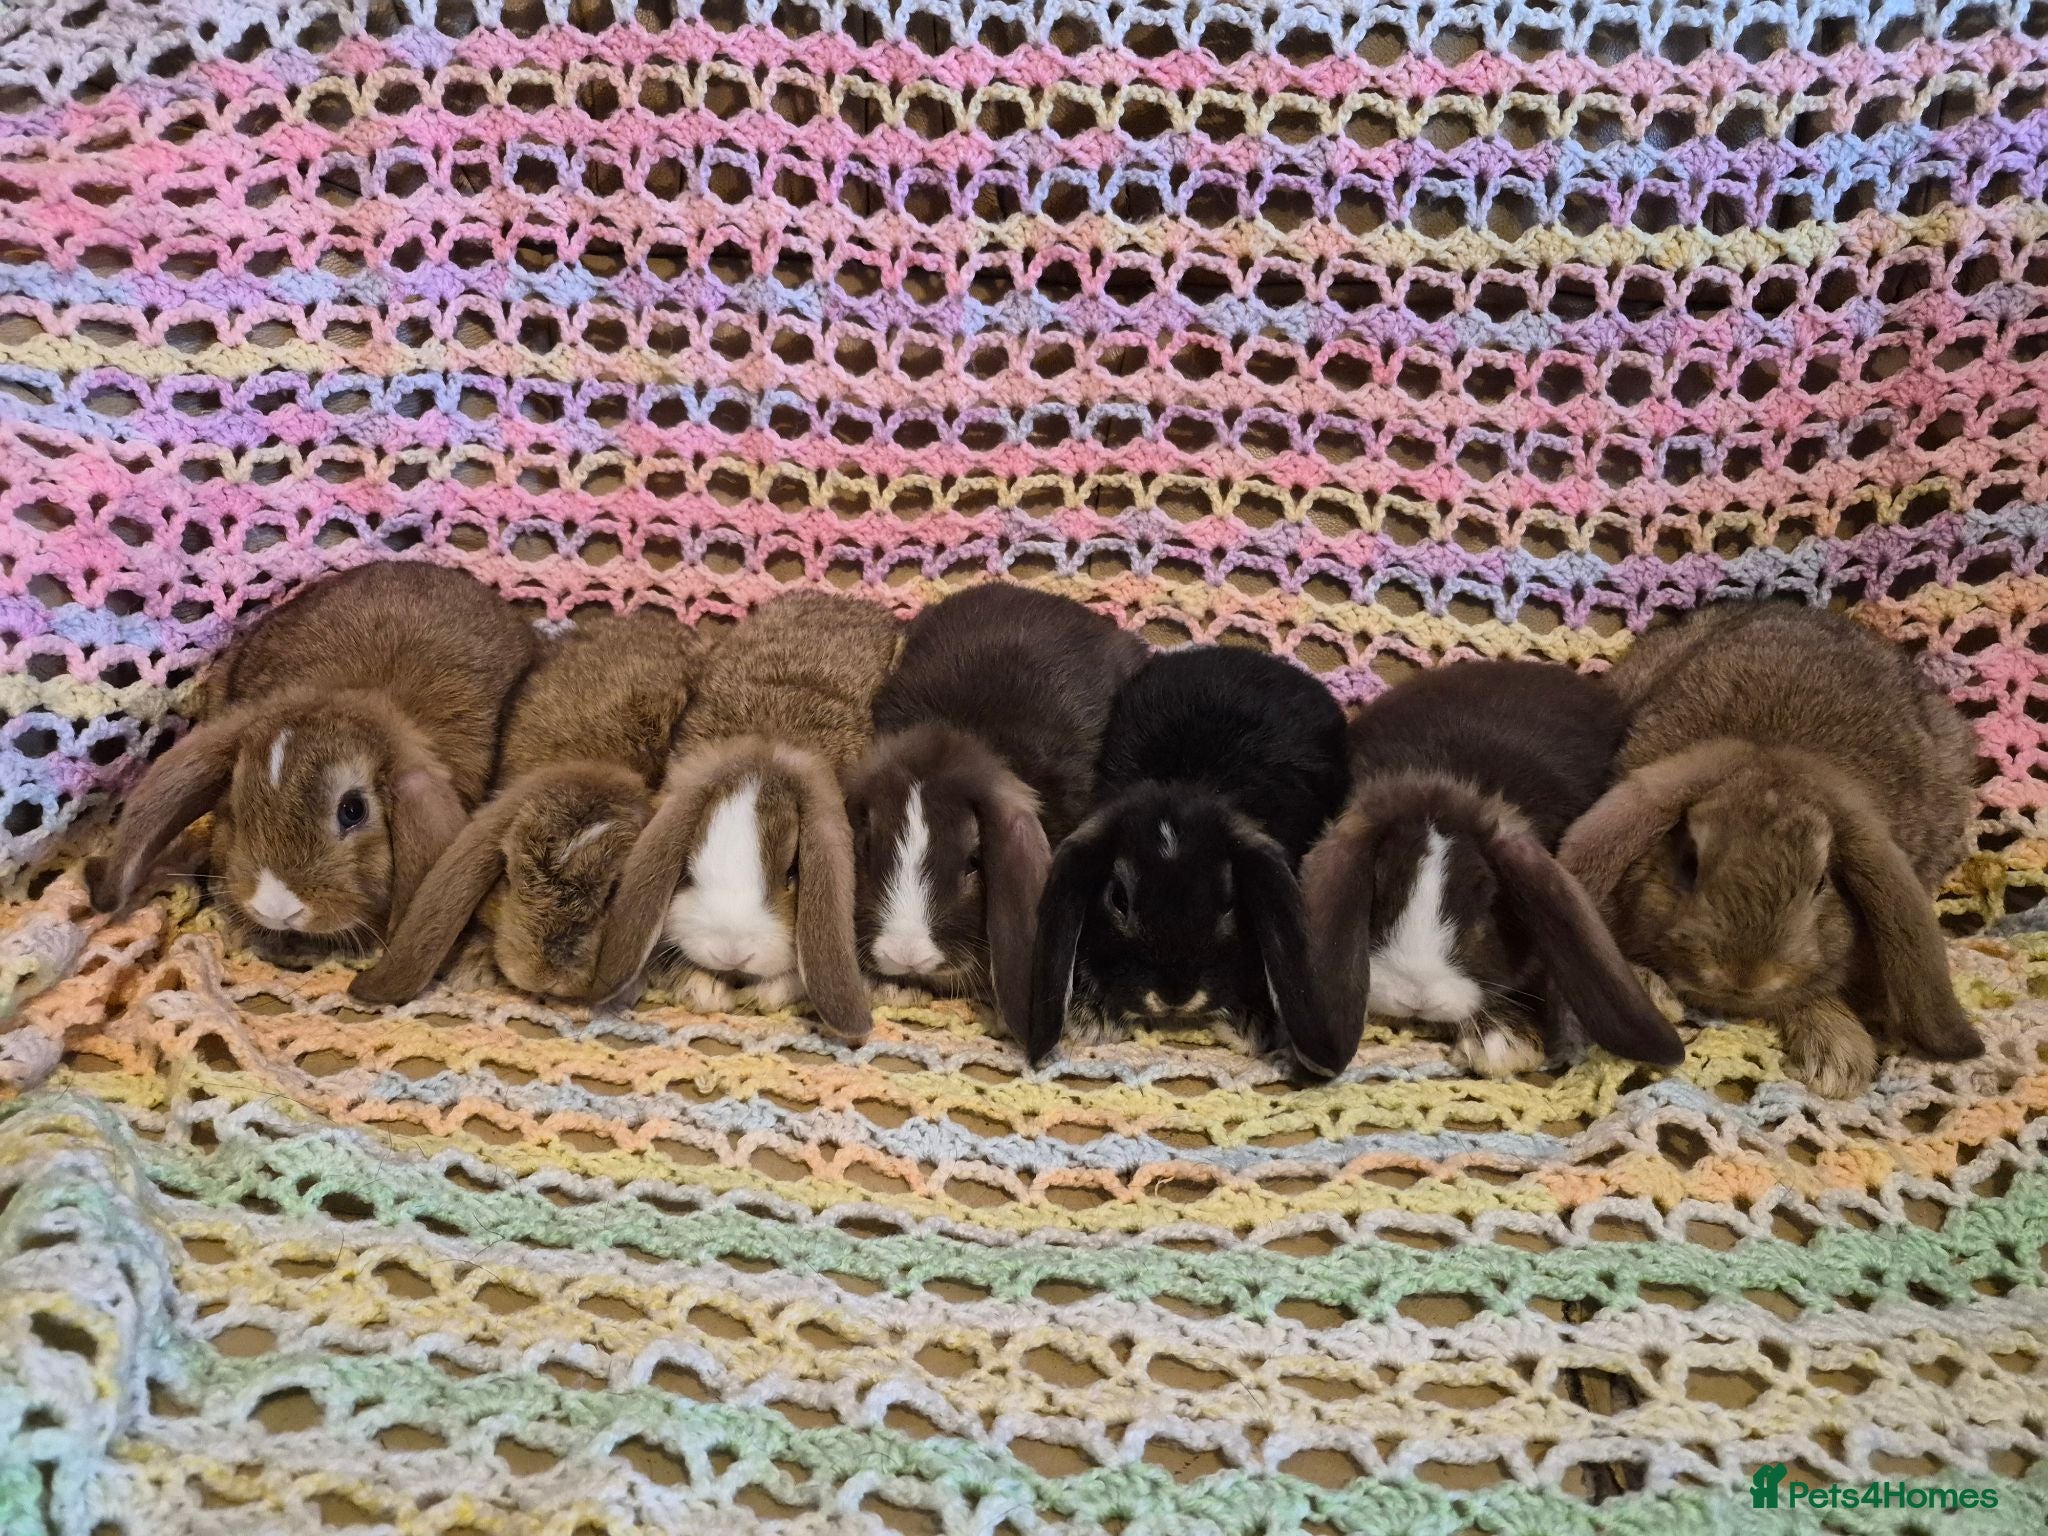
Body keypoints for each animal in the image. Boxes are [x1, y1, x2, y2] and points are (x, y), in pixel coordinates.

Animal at [587, 590, 903, 1040]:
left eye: (793, 873)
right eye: (686, 872)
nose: (731, 951)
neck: (769, 739)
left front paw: (762, 995)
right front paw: (705, 990)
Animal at [1558, 601, 1984, 1096]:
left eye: (1821, 882)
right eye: (1689, 862)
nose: (1744, 975)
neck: (1772, 755)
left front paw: (1839, 1062)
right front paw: (1653, 993)